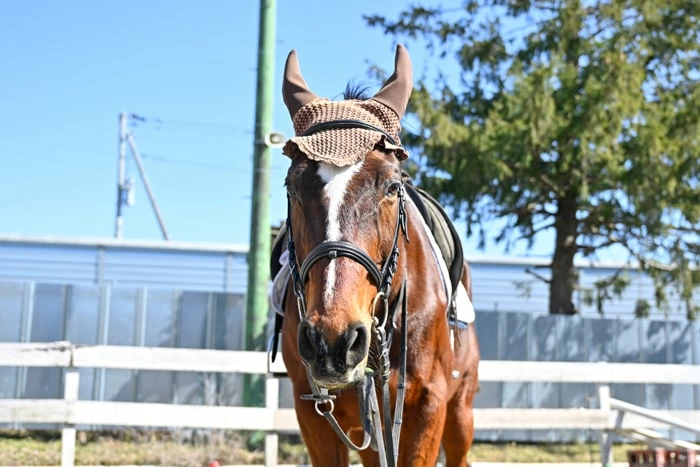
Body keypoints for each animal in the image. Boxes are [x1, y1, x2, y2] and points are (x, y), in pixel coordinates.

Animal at [274, 44, 480, 467]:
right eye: (291, 186)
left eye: (391, 186)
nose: (332, 340)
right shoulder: (314, 414)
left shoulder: (429, 408)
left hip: (460, 412)